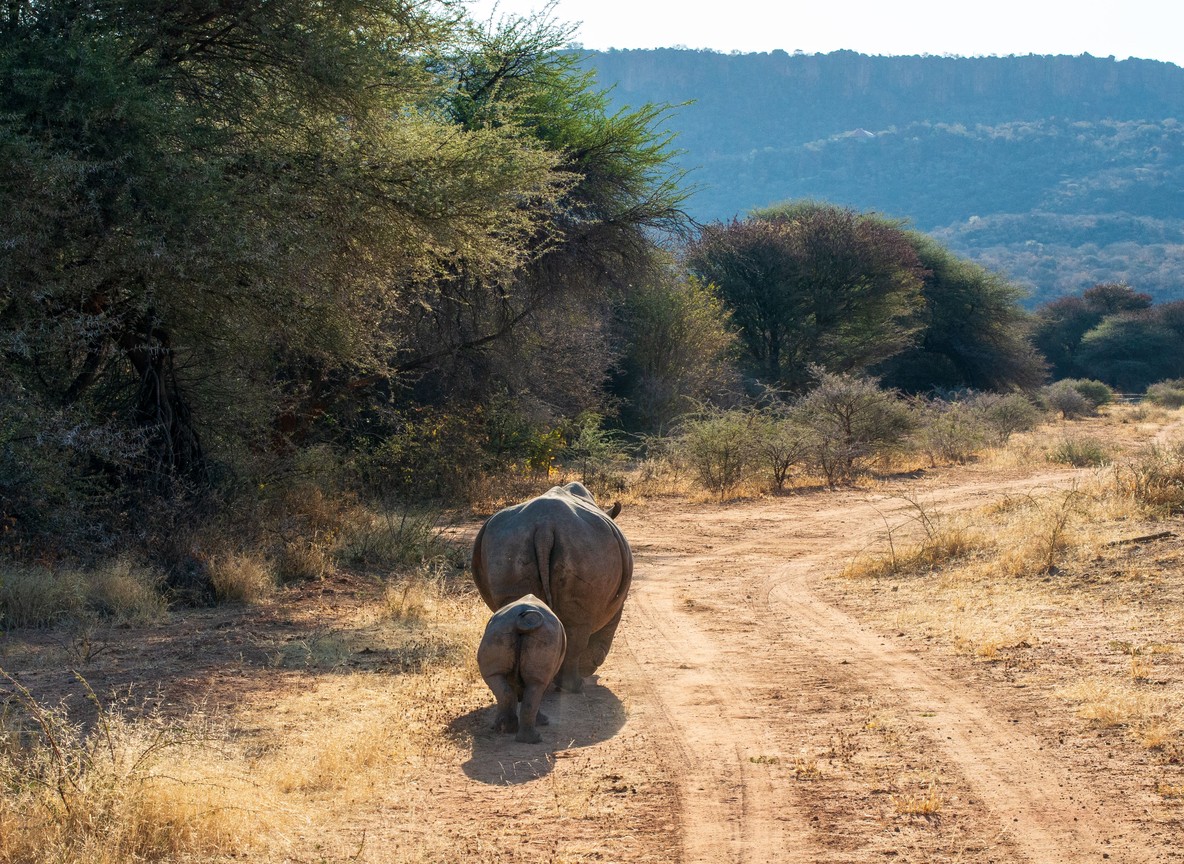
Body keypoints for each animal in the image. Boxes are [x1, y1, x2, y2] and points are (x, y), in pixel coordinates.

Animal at [471, 481, 633, 693]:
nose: (590, 671)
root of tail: (544, 527)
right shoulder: (616, 602)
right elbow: (606, 629)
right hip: (587, 547)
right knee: (576, 629)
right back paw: (574, 687)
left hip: (508, 542)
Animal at [477, 594, 566, 744]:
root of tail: (524, 621)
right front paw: (543, 722)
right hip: (545, 636)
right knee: (535, 686)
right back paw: (533, 739)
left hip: (498, 632)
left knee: (497, 680)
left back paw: (508, 729)